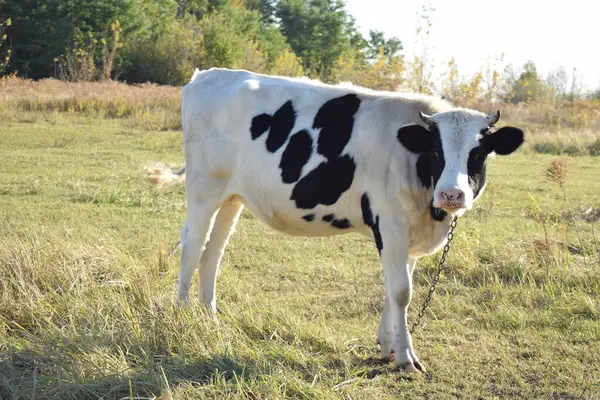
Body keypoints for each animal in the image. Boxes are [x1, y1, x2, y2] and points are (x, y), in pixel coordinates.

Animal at [152, 68, 524, 372]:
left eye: (479, 153)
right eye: (436, 151)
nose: (451, 194)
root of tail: (207, 75)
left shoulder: (408, 234)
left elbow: (394, 286)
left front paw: (388, 346)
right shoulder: (390, 223)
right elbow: (402, 291)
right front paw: (406, 357)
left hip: (232, 197)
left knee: (213, 252)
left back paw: (210, 319)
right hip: (204, 191)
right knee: (192, 248)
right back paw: (183, 315)